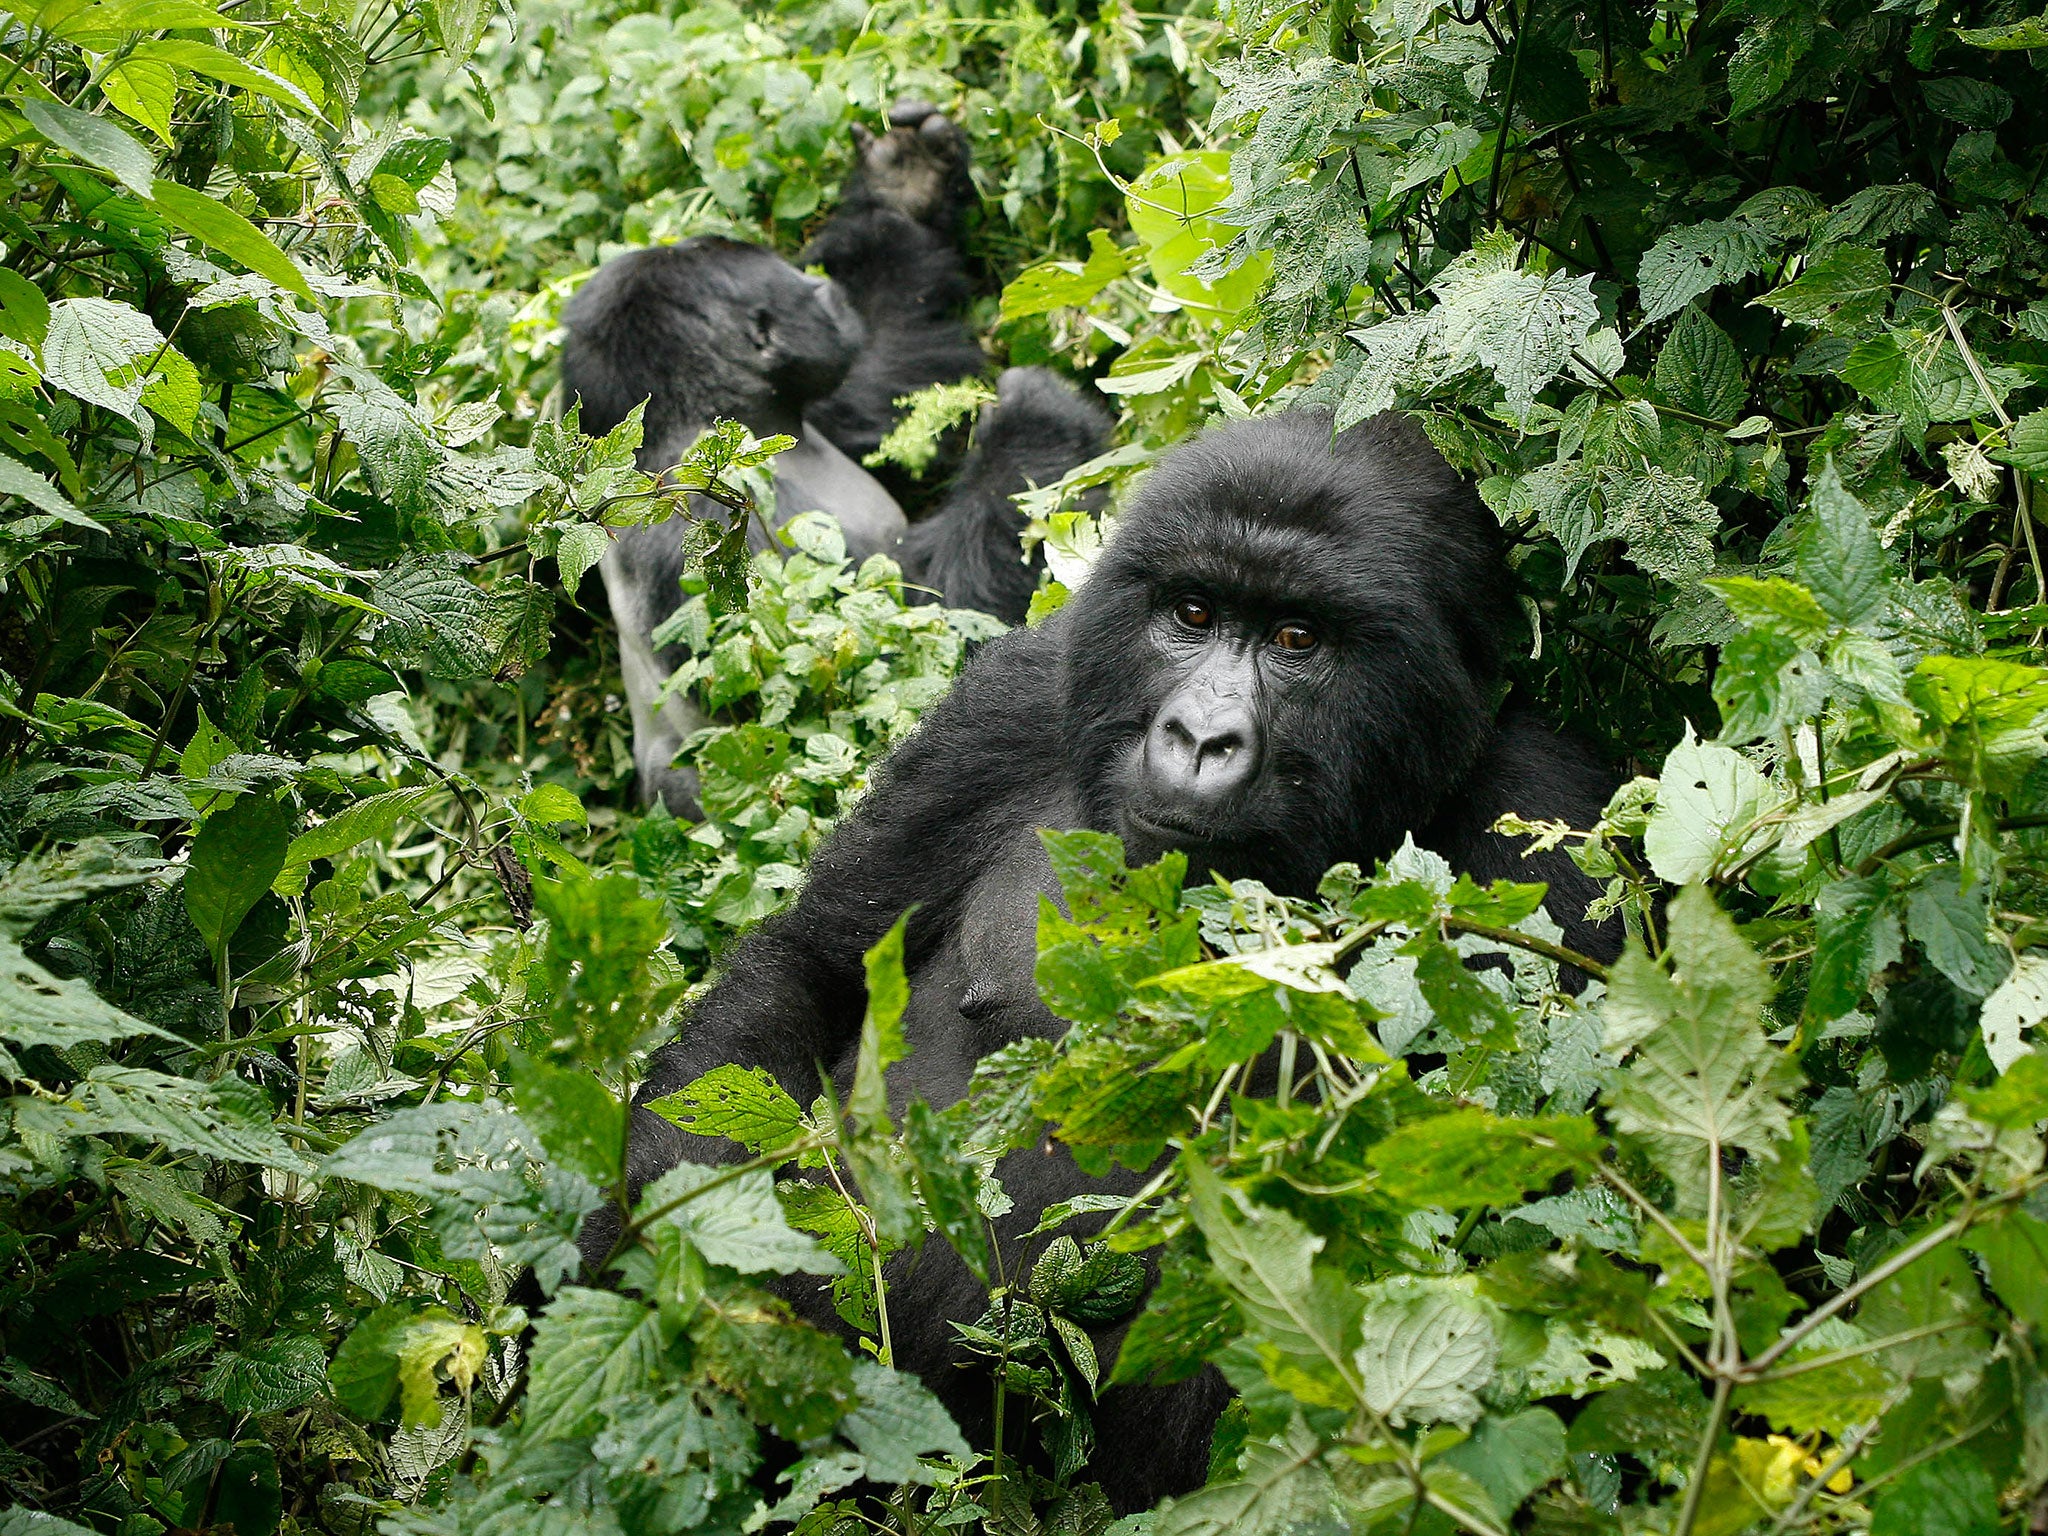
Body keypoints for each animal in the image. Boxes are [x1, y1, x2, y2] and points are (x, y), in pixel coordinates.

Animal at [557, 105, 1105, 819]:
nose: (822, 287)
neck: (684, 429)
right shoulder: (722, 521)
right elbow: (912, 661)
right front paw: (1037, 422)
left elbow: (879, 376)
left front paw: (904, 183)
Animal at [589, 411, 1613, 1515]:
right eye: (1192, 614)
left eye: (1298, 640)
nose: (1200, 737)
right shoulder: (1011, 703)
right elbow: (812, 971)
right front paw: (677, 1250)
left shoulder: (1548, 841)